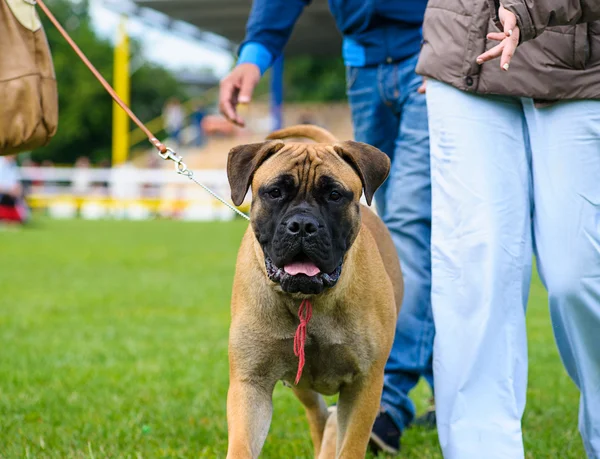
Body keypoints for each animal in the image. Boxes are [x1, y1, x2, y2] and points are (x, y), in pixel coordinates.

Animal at [225, 124, 404, 458]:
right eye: (275, 192)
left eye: (334, 195)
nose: (302, 225)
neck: (308, 300)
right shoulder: (250, 382)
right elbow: (242, 445)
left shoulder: (364, 385)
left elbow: (350, 447)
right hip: (301, 384)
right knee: (320, 414)